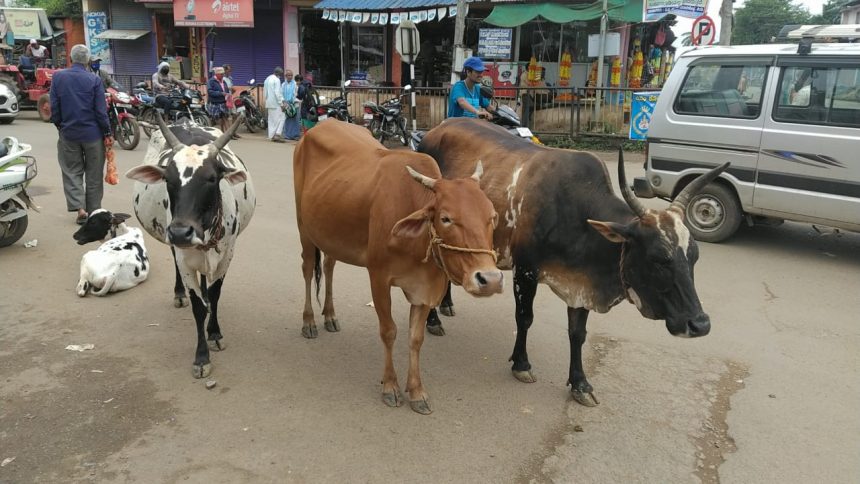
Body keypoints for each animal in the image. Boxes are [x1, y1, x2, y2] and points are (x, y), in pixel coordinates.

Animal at [125, 113, 255, 378]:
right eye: (168, 179)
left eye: (212, 178)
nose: (180, 233)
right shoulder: (184, 258)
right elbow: (198, 308)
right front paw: (201, 357)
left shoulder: (227, 255)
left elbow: (214, 296)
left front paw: (214, 333)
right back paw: (179, 294)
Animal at [294, 119, 504, 414]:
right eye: (446, 218)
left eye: (492, 216)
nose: (491, 279)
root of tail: (318, 127)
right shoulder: (379, 278)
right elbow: (389, 331)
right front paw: (390, 386)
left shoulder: (424, 290)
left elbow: (415, 338)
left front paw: (416, 391)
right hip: (304, 227)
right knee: (307, 267)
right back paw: (310, 321)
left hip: (330, 232)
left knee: (329, 264)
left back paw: (330, 316)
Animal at [420, 119, 728, 406]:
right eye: (658, 258)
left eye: (694, 256)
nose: (700, 324)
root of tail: (437, 129)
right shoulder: (526, 271)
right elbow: (525, 318)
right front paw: (521, 363)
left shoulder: (581, 284)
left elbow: (578, 333)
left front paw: (580, 383)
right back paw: (433, 319)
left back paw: (446, 304)